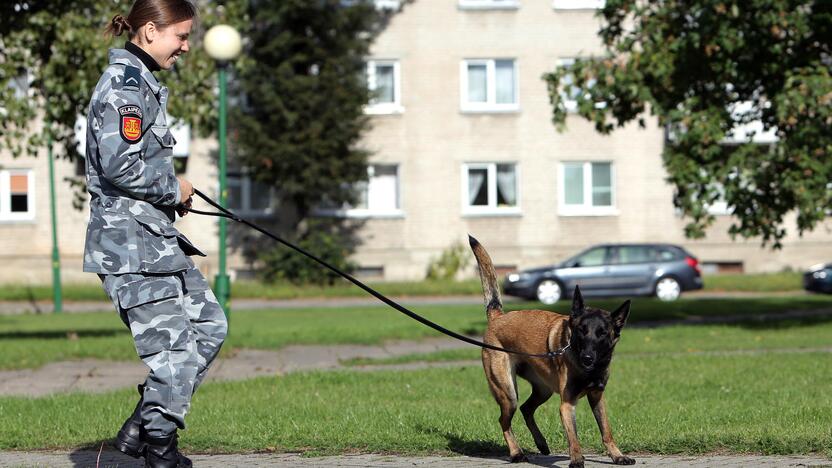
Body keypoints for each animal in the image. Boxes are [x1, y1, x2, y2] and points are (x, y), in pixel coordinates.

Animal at [468, 236, 636, 466]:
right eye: (582, 331)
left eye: (602, 333)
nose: (587, 358)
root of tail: (498, 317)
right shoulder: (567, 405)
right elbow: (573, 437)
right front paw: (577, 459)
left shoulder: (597, 398)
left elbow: (606, 431)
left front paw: (617, 455)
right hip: (508, 392)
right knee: (504, 420)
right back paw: (516, 452)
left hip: (543, 389)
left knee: (526, 409)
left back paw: (541, 443)